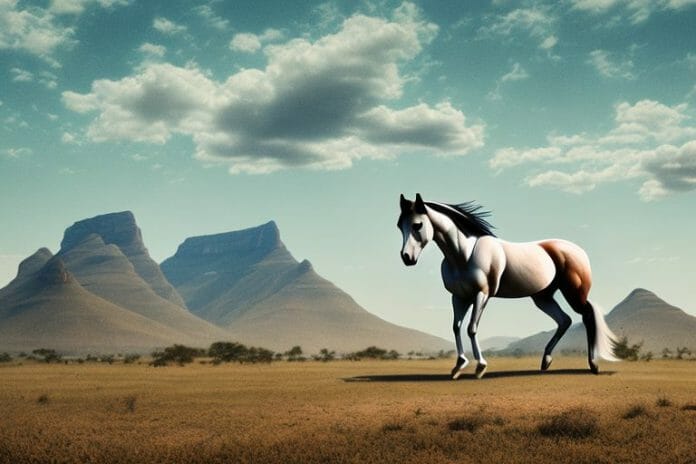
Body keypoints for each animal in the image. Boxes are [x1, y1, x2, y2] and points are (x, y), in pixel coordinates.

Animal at [398, 193, 617, 379]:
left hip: (573, 293)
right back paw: (545, 362)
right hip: (543, 297)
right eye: (400, 225)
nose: (407, 258)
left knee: (587, 315)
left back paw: (593, 365)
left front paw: (480, 367)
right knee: (564, 320)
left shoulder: (481, 295)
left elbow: (471, 328)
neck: (464, 255)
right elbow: (456, 327)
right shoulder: (459, 297)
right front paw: (458, 366)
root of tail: (579, 251)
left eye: (417, 225)